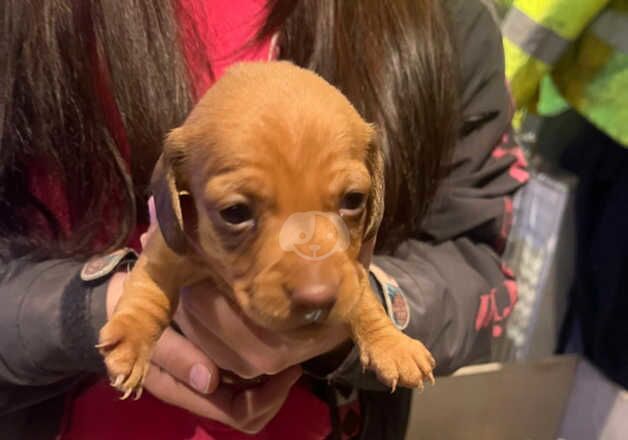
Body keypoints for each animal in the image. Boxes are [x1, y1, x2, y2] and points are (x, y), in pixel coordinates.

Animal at [99, 61, 436, 398]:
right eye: (235, 213)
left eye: (353, 200)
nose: (317, 301)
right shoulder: (168, 251)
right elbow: (147, 291)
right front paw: (130, 341)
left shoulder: (351, 270)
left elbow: (363, 296)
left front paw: (392, 344)